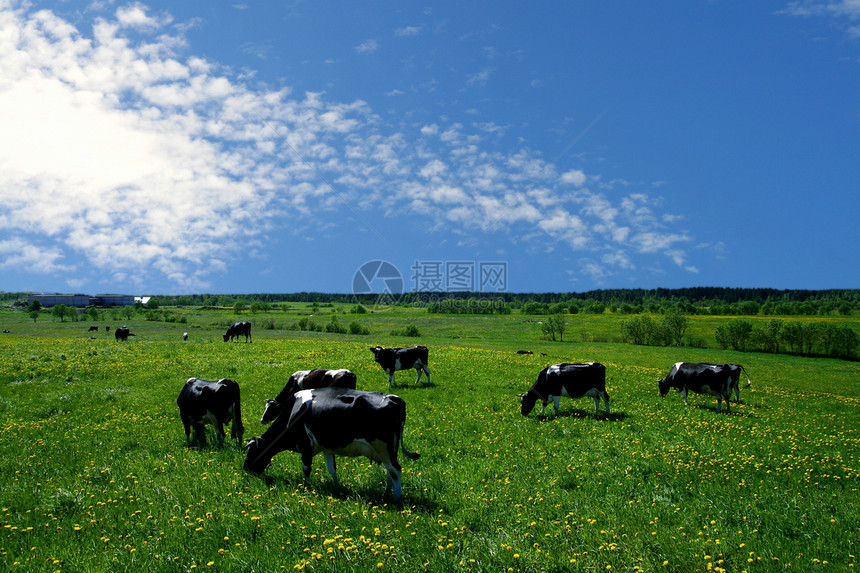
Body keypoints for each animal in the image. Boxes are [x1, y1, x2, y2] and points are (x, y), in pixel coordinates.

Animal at [242, 384, 420, 500]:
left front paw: (307, 487)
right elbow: (332, 469)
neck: (292, 413)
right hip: (387, 450)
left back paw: (396, 498)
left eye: (252, 452)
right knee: (390, 471)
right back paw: (385, 494)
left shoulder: (305, 445)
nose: (245, 469)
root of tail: (394, 398)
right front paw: (336, 487)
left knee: (395, 470)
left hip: (384, 447)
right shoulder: (326, 447)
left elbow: (306, 469)